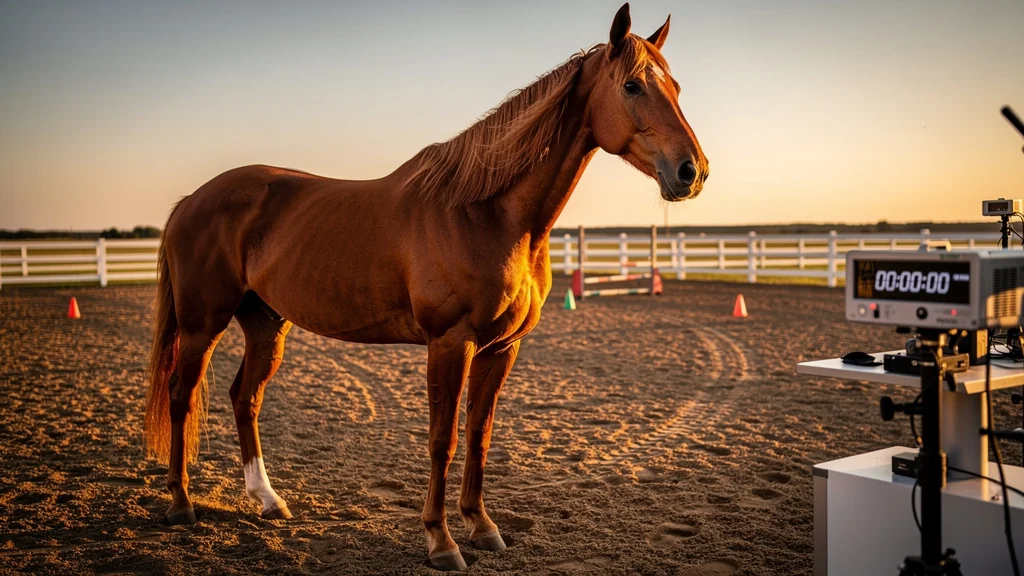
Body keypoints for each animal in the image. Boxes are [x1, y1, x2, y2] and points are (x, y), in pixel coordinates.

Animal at [143, 3, 707, 570]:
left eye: (677, 87)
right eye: (633, 85)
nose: (692, 171)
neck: (488, 212)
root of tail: (191, 200)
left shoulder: (502, 348)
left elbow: (479, 435)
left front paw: (482, 526)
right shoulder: (450, 342)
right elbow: (443, 439)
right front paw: (441, 541)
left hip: (265, 325)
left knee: (246, 398)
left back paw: (268, 500)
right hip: (202, 325)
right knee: (181, 395)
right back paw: (181, 504)